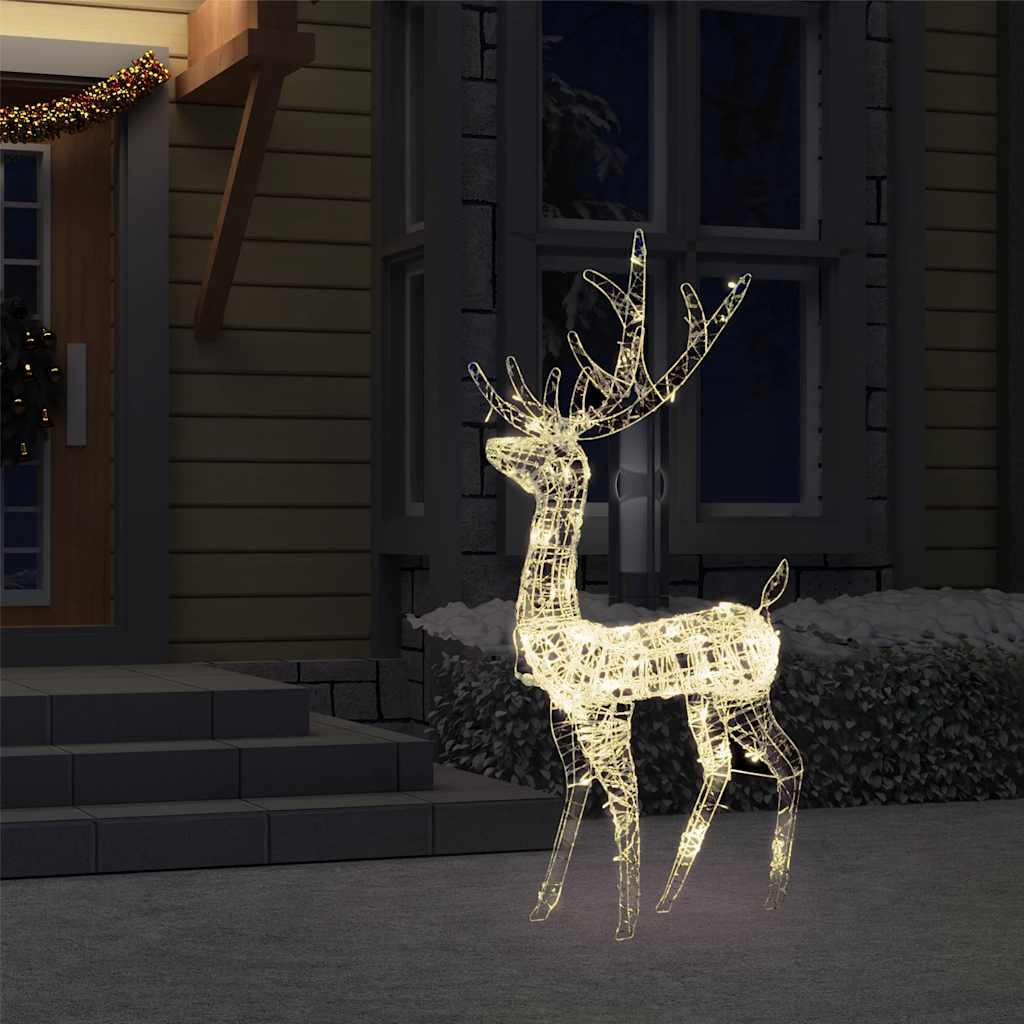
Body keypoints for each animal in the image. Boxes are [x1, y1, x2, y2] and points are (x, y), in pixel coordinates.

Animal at [467, 229, 803, 941]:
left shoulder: (604, 714)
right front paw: (543, 908)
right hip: (708, 701)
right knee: (724, 767)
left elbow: (626, 803)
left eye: (548, 451)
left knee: (784, 763)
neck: (557, 626)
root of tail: (767, 611)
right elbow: (574, 800)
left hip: (743, 697)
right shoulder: (563, 716)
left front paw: (623, 927)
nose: (492, 447)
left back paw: (767, 900)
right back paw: (681, 899)